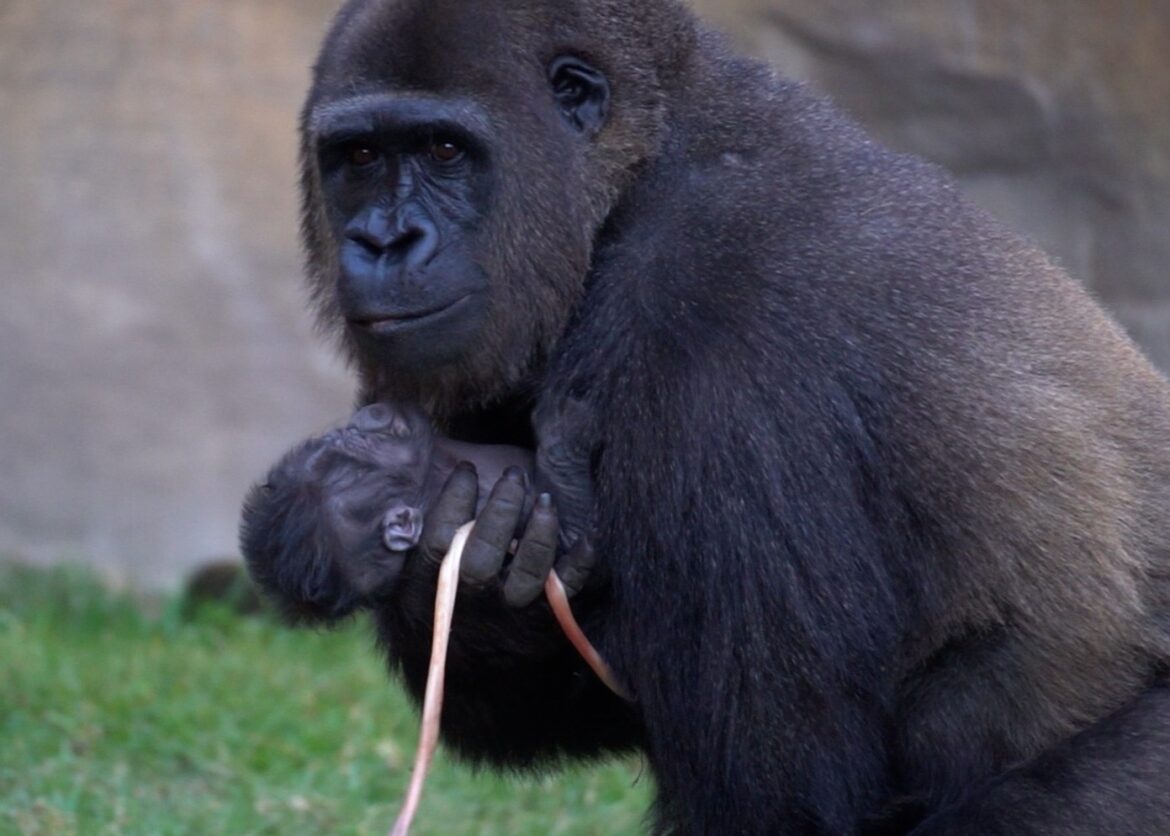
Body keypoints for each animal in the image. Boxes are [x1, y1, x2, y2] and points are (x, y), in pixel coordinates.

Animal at [241, 0, 1170, 832]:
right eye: (359, 156)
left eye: (442, 148)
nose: (382, 241)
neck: (633, 177)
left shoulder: (714, 330)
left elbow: (789, 797)